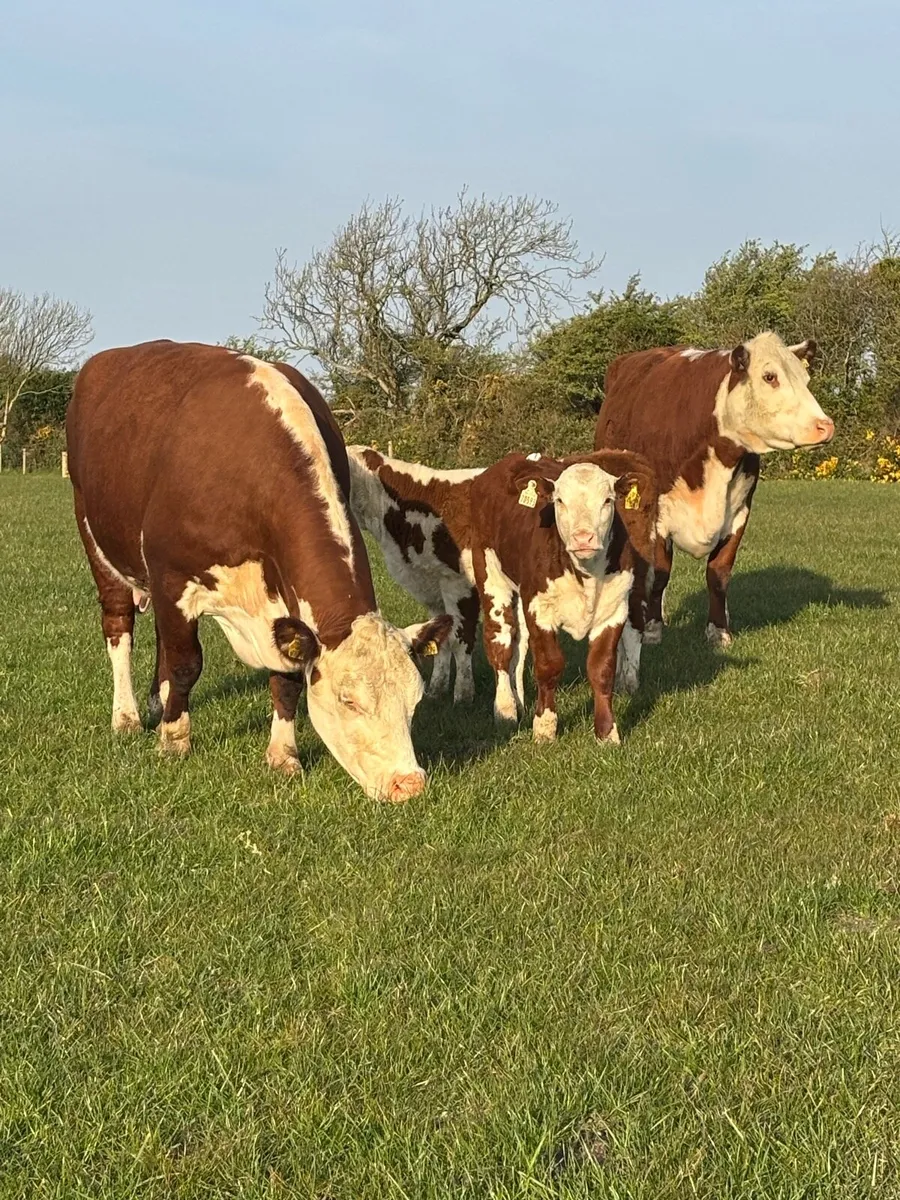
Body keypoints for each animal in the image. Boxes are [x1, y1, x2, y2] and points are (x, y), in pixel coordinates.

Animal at [65, 341, 453, 803]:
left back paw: (159, 701)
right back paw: (127, 715)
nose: (408, 784)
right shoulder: (173, 576)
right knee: (119, 626)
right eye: (349, 700)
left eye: (415, 701)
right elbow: (186, 663)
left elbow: (285, 678)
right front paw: (174, 739)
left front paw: (283, 753)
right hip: (96, 538)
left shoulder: (279, 605)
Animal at [347, 446, 482, 704]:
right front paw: (436, 689)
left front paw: (463, 696)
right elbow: (440, 638)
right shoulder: (431, 588)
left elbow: (460, 640)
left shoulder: (458, 584)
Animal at [468, 449, 658, 744]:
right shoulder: (539, 608)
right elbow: (549, 665)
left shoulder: (613, 610)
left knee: (520, 644)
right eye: (559, 500)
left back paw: (519, 702)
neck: (585, 574)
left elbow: (601, 668)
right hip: (490, 573)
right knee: (500, 642)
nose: (583, 538)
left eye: (607, 500)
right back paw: (506, 708)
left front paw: (607, 732)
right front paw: (544, 727)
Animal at [595, 331, 834, 677]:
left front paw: (719, 630)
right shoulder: (659, 516)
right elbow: (661, 573)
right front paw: (653, 629)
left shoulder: (739, 513)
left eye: (805, 379)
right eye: (769, 376)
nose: (825, 425)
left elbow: (719, 574)